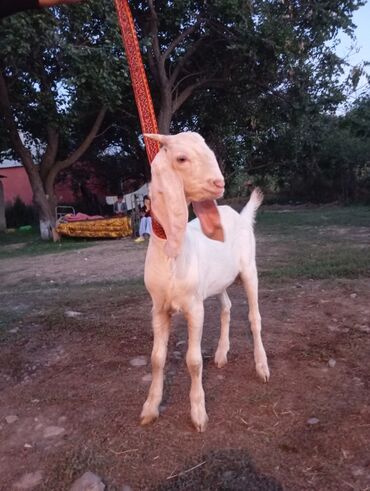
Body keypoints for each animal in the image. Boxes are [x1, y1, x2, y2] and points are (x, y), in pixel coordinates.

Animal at [139, 133, 268, 432]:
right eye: (182, 158)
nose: (219, 183)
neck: (173, 256)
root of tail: (241, 216)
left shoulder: (194, 306)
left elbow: (194, 361)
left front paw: (198, 413)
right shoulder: (158, 308)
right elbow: (156, 358)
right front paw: (150, 408)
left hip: (249, 269)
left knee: (254, 317)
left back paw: (262, 367)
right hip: (217, 282)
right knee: (227, 307)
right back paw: (221, 354)